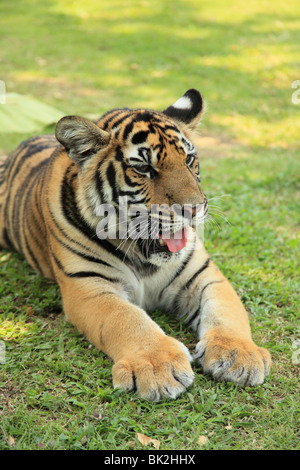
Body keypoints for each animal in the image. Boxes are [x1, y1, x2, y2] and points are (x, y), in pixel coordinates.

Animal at [0, 88, 272, 400]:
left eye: (189, 159)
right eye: (143, 168)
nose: (194, 209)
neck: (144, 257)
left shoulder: (205, 276)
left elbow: (227, 312)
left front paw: (239, 356)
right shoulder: (89, 286)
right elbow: (127, 319)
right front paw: (157, 366)